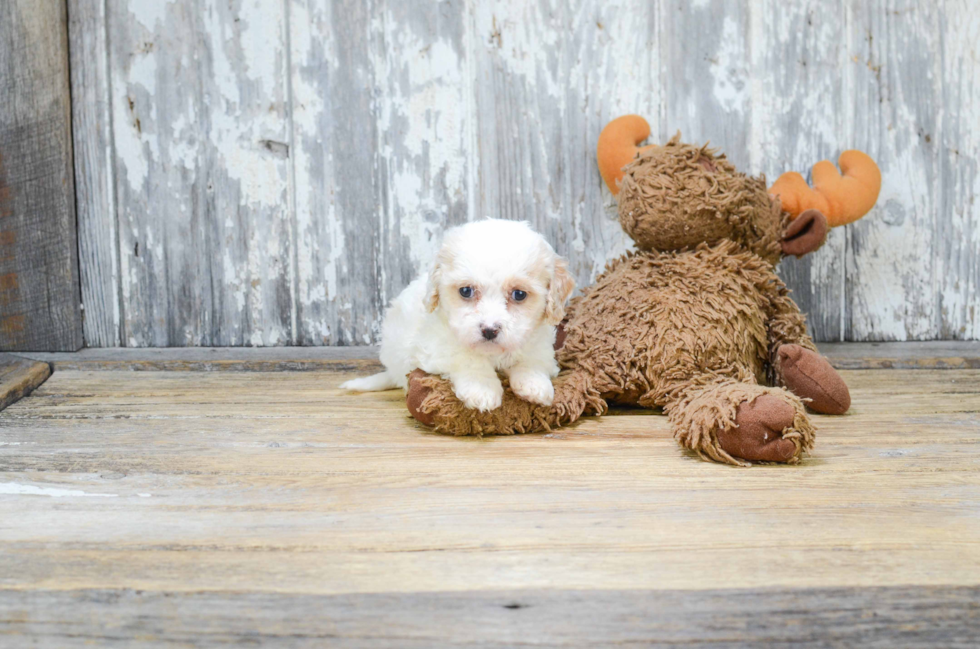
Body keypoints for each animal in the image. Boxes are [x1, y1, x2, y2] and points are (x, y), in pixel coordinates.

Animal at [342, 218, 576, 410]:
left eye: (519, 294)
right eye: (466, 291)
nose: (489, 330)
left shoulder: (538, 344)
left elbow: (531, 359)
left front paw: (535, 385)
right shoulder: (436, 346)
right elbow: (468, 358)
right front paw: (482, 389)